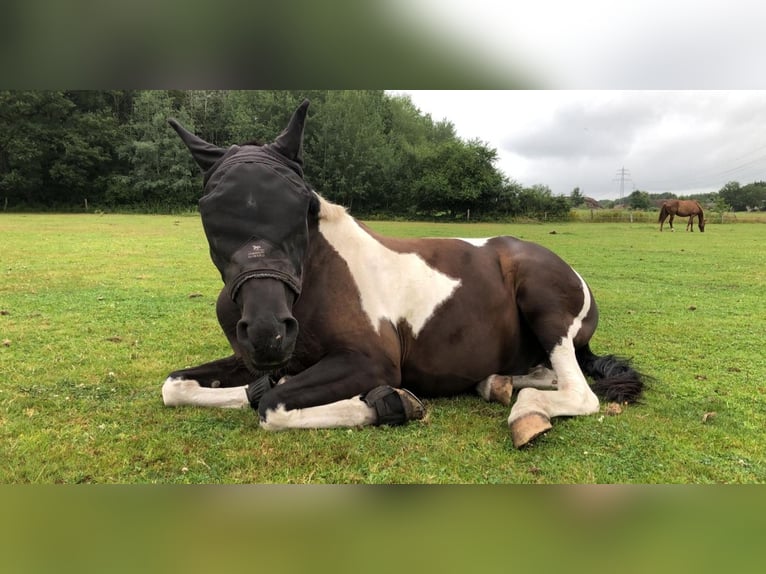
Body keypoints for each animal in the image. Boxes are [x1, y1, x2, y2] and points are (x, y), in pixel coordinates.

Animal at [162, 100, 648, 450]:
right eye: (209, 210)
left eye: (299, 205)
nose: (268, 333)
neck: (317, 279)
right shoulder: (254, 360)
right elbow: (179, 387)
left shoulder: (370, 361)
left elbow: (273, 404)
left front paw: (388, 404)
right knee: (547, 374)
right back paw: (496, 383)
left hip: (544, 304)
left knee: (579, 392)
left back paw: (526, 413)